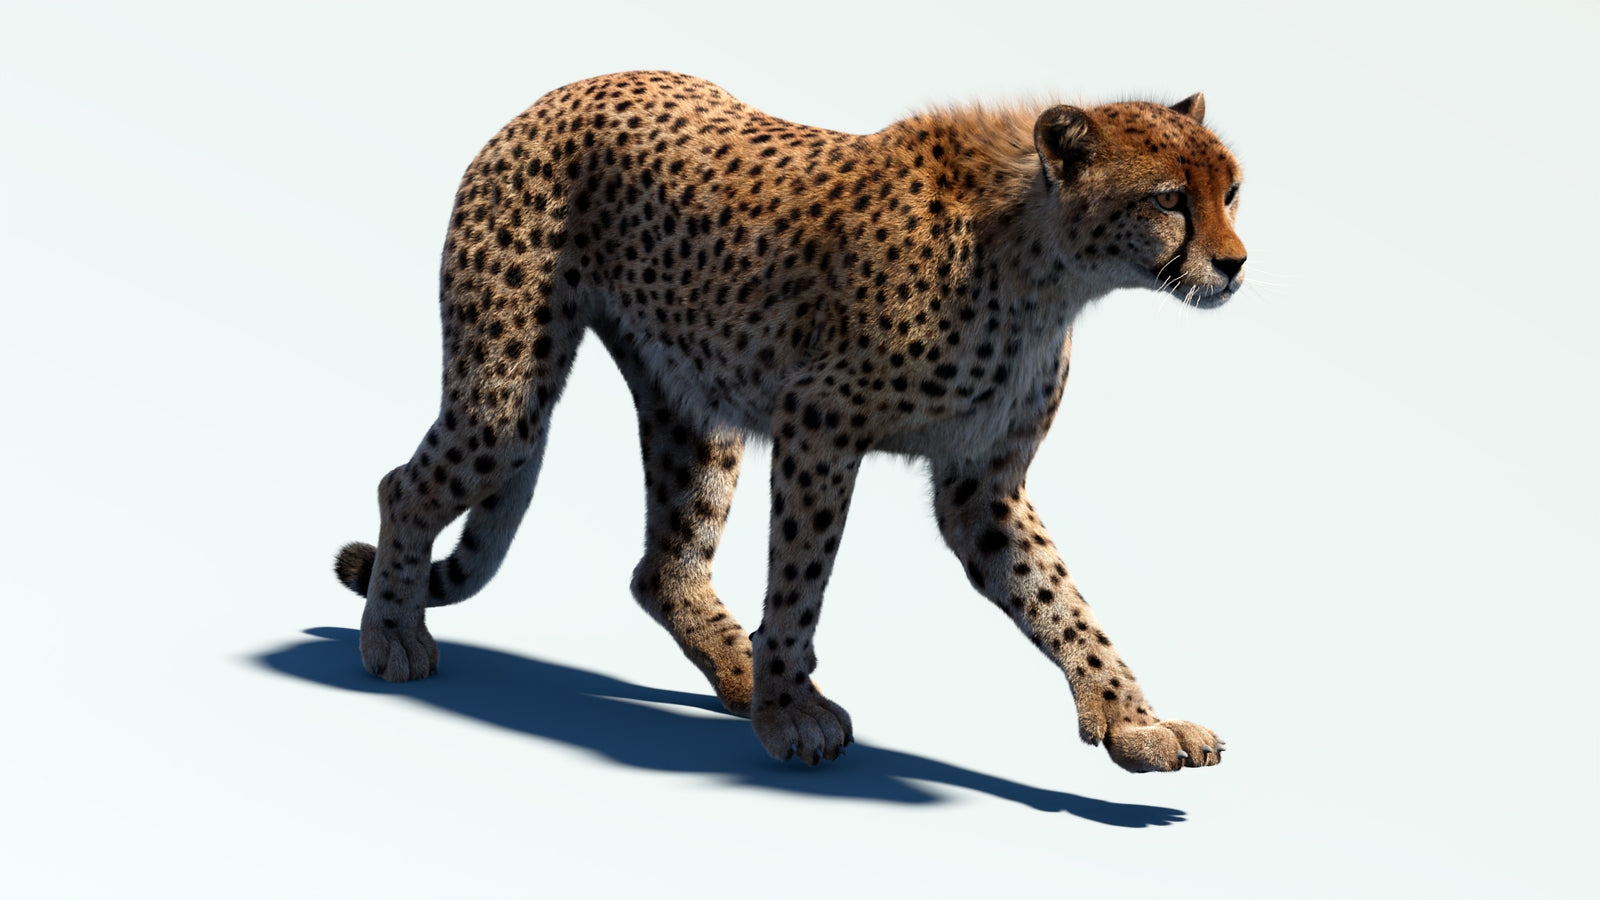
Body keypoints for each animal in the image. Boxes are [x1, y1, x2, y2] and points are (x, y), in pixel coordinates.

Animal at [333, 71, 1246, 773]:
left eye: (1231, 192)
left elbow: (1061, 600)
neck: (1047, 267)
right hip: (507, 399)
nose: (1235, 264)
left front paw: (1132, 720)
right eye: (1170, 199)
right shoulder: (819, 423)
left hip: (694, 405)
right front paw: (788, 710)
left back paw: (739, 674)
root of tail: (563, 92)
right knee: (403, 485)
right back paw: (391, 635)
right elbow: (801, 579)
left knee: (662, 566)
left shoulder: (979, 485)